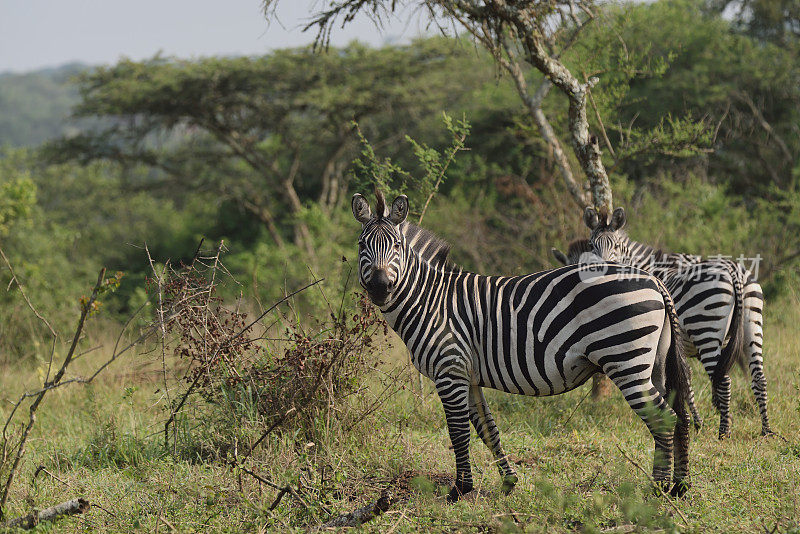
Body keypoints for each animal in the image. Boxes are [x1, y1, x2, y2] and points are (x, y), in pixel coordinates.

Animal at [352, 193, 692, 502]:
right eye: (361, 246)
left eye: (396, 246)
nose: (380, 288)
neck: (430, 301)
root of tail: (653, 280)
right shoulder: (468, 375)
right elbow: (487, 429)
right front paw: (508, 482)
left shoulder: (449, 369)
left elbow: (458, 432)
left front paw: (459, 490)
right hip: (655, 361)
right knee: (679, 414)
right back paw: (679, 486)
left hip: (626, 360)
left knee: (663, 417)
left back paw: (657, 489)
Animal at [564, 207, 768, 442]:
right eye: (592, 245)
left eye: (615, 246)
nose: (601, 271)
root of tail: (734, 270)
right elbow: (686, 381)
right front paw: (697, 421)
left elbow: (684, 383)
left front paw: (695, 422)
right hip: (752, 325)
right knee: (759, 377)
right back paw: (766, 430)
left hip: (706, 329)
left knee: (724, 380)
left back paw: (723, 432)